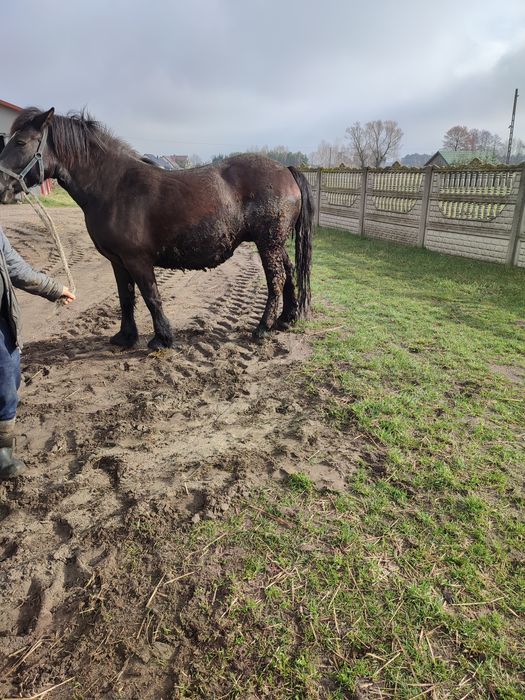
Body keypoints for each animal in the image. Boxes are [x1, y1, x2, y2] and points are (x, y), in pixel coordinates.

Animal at [0, 108, 312, 348]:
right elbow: (126, 297)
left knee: (276, 280)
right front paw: (125, 337)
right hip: (276, 243)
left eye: (21, 142)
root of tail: (285, 171)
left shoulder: (137, 260)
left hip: (267, 243)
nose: (1, 187)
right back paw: (286, 319)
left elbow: (151, 297)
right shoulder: (118, 261)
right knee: (289, 273)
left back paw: (262, 328)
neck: (113, 187)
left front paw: (162, 338)